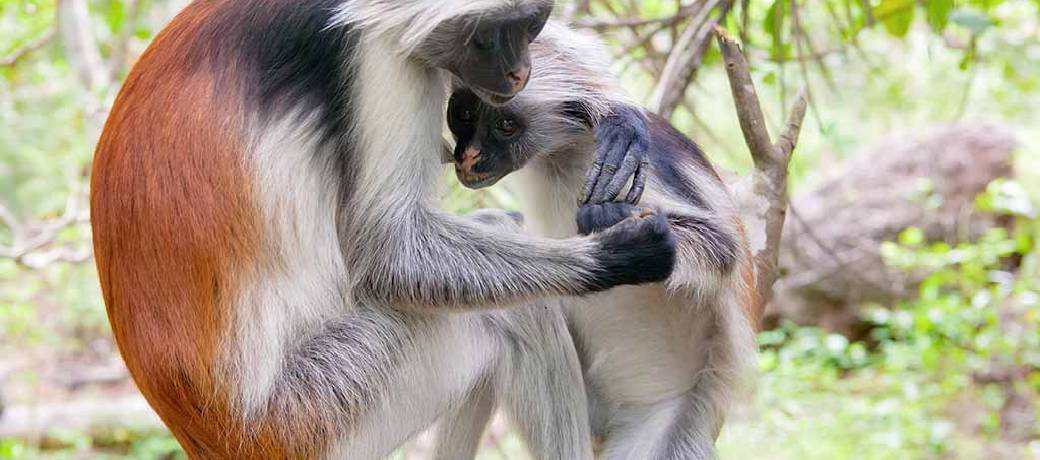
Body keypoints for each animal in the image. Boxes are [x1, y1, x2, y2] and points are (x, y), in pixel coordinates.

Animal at [89, 1, 678, 458]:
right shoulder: (374, 54)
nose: (520, 74)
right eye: (499, 32)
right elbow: (388, 254)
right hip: (322, 410)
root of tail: (208, 433)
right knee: (513, 313)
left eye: (533, 25)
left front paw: (606, 102)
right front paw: (617, 255)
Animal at [440, 23, 757, 459]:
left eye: (506, 126)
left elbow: (723, 247)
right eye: (465, 113)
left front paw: (615, 220)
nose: (469, 156)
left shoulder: (639, 168)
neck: (562, 152)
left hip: (665, 427)